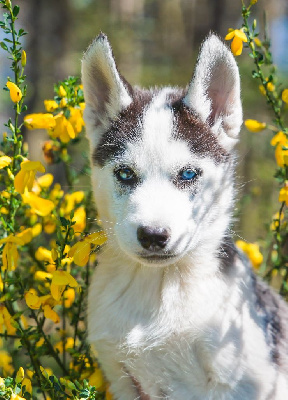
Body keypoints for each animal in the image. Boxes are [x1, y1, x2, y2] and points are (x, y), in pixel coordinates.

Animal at [81, 34, 288, 400]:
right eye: (124, 174)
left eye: (188, 174)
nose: (153, 235)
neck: (159, 286)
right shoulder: (121, 377)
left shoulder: (246, 381)